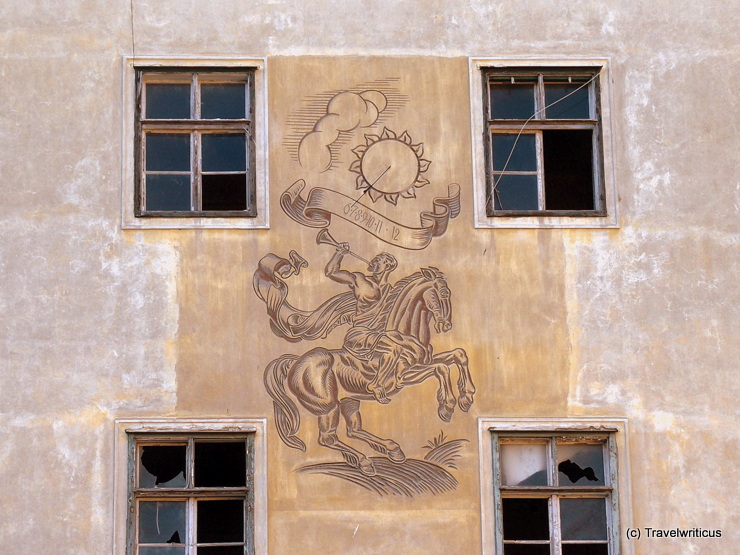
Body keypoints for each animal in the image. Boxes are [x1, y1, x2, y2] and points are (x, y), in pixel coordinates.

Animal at [264, 268, 474, 476]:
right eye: (442, 293)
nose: (446, 325)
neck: (406, 335)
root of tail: (294, 362)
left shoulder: (425, 362)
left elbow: (459, 355)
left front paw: (467, 397)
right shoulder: (405, 376)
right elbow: (441, 369)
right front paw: (447, 406)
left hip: (349, 401)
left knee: (353, 430)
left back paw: (391, 450)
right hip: (328, 407)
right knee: (328, 438)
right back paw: (365, 461)